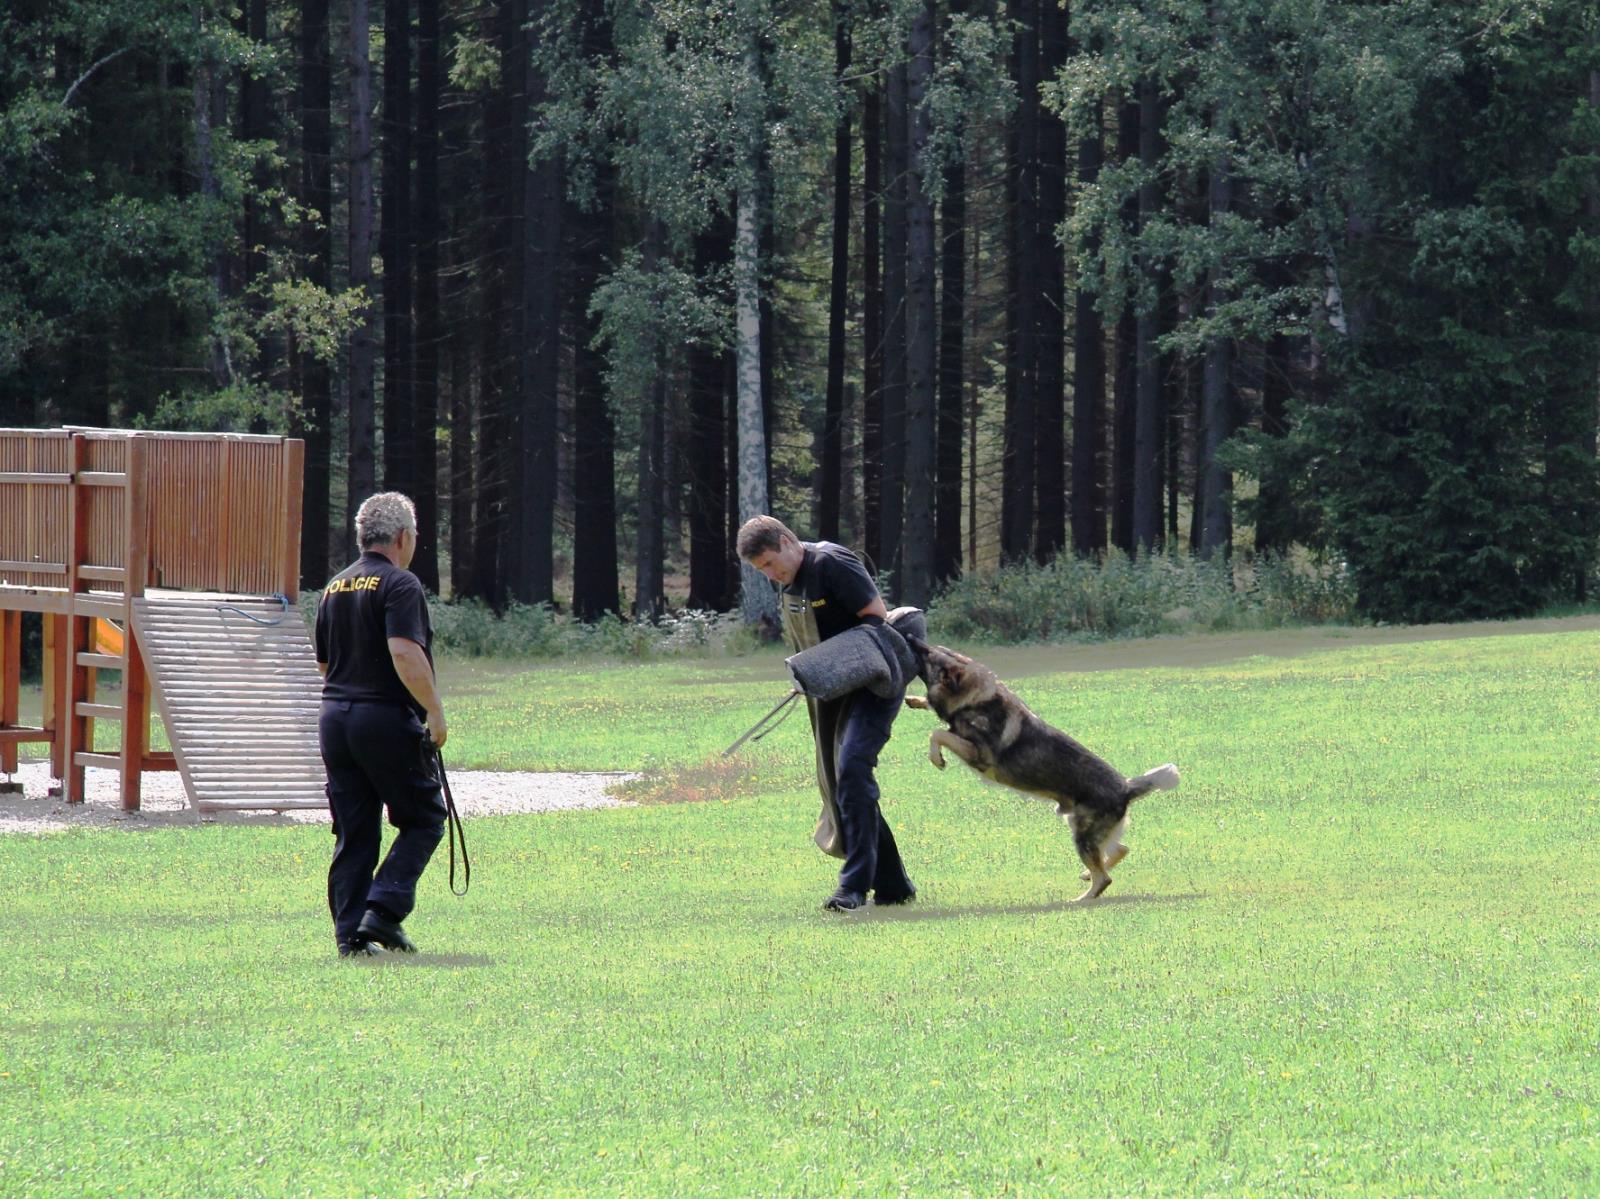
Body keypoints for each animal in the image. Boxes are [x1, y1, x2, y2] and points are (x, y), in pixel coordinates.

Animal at [908, 637, 1184, 896]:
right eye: (934, 648)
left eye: (928, 655)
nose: (911, 636)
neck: (975, 698)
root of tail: (1126, 787)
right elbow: (938, 723)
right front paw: (914, 700)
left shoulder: (977, 755)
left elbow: (938, 733)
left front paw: (936, 757)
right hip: (1082, 828)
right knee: (1120, 851)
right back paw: (1086, 875)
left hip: (1082, 835)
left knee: (1104, 879)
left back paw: (1080, 900)